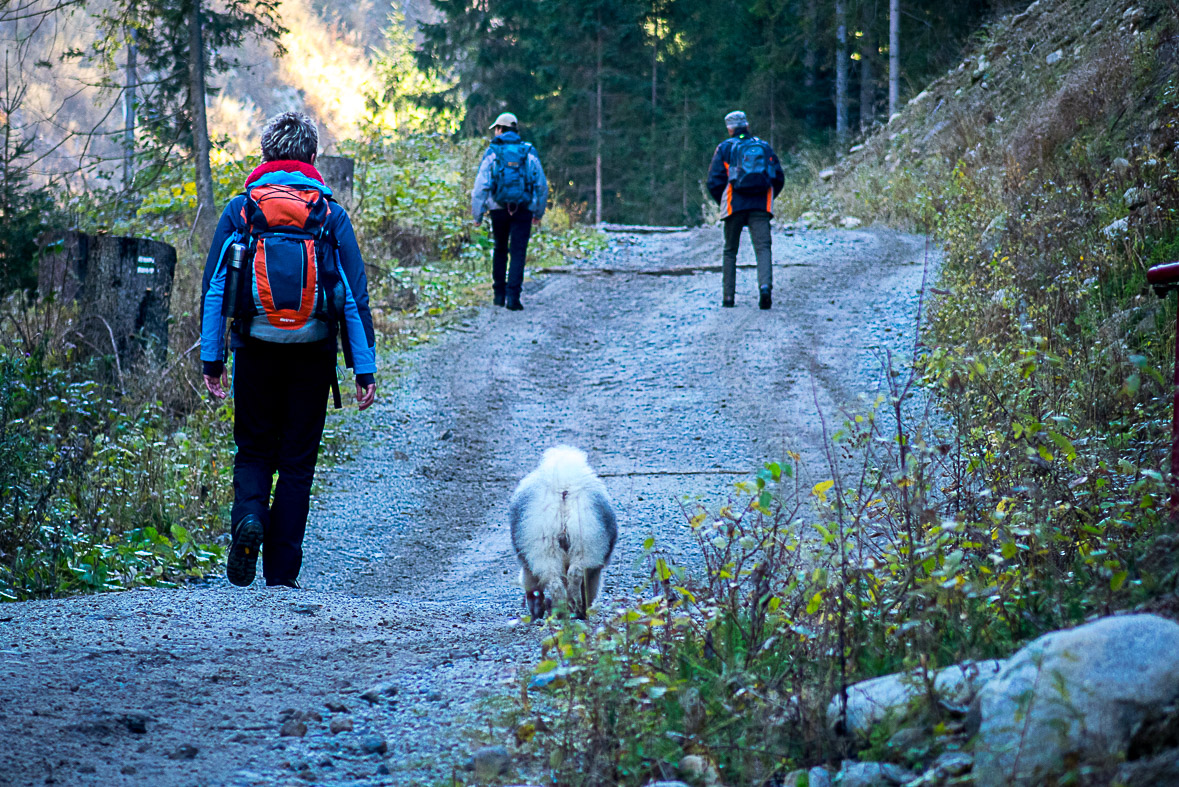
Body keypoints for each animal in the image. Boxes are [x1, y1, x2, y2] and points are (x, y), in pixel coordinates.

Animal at [506, 445, 617, 617]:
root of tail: (564, 488)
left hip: (549, 545)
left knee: (560, 580)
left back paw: (567, 609)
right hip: (582, 543)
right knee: (572, 576)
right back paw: (571, 608)